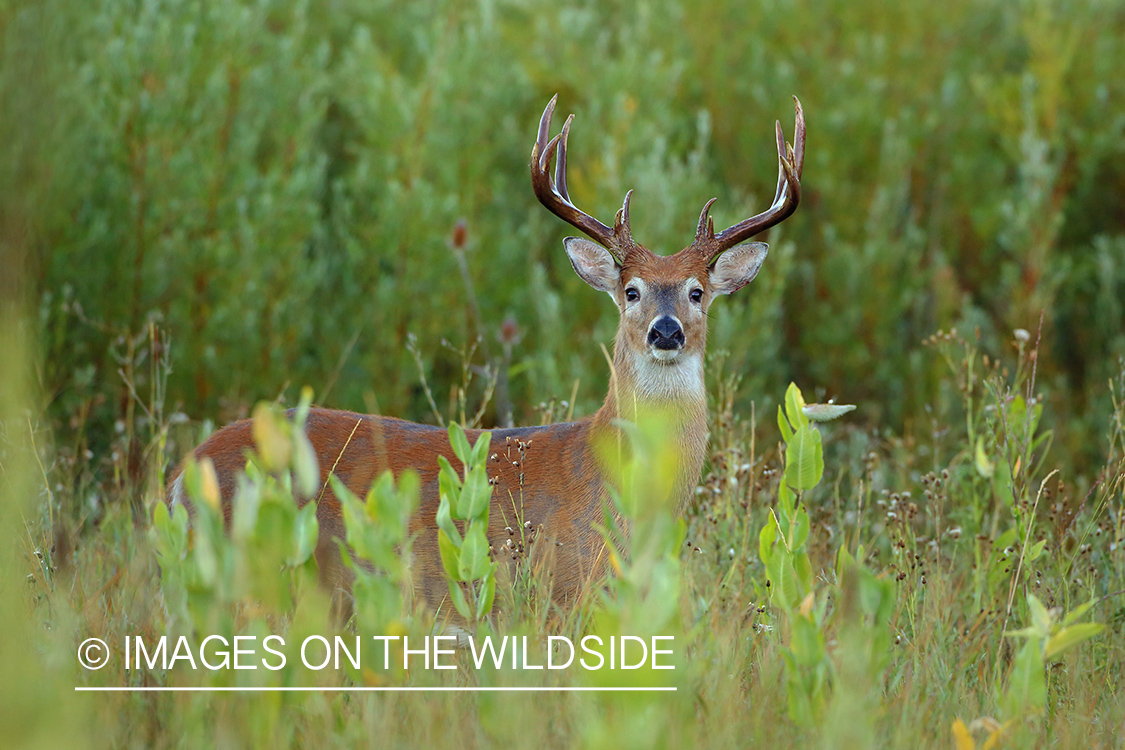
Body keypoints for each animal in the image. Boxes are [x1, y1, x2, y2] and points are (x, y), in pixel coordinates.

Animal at [167, 94, 805, 618]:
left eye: (698, 291)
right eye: (631, 290)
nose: (666, 332)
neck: (617, 492)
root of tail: (181, 475)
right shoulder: (556, 594)